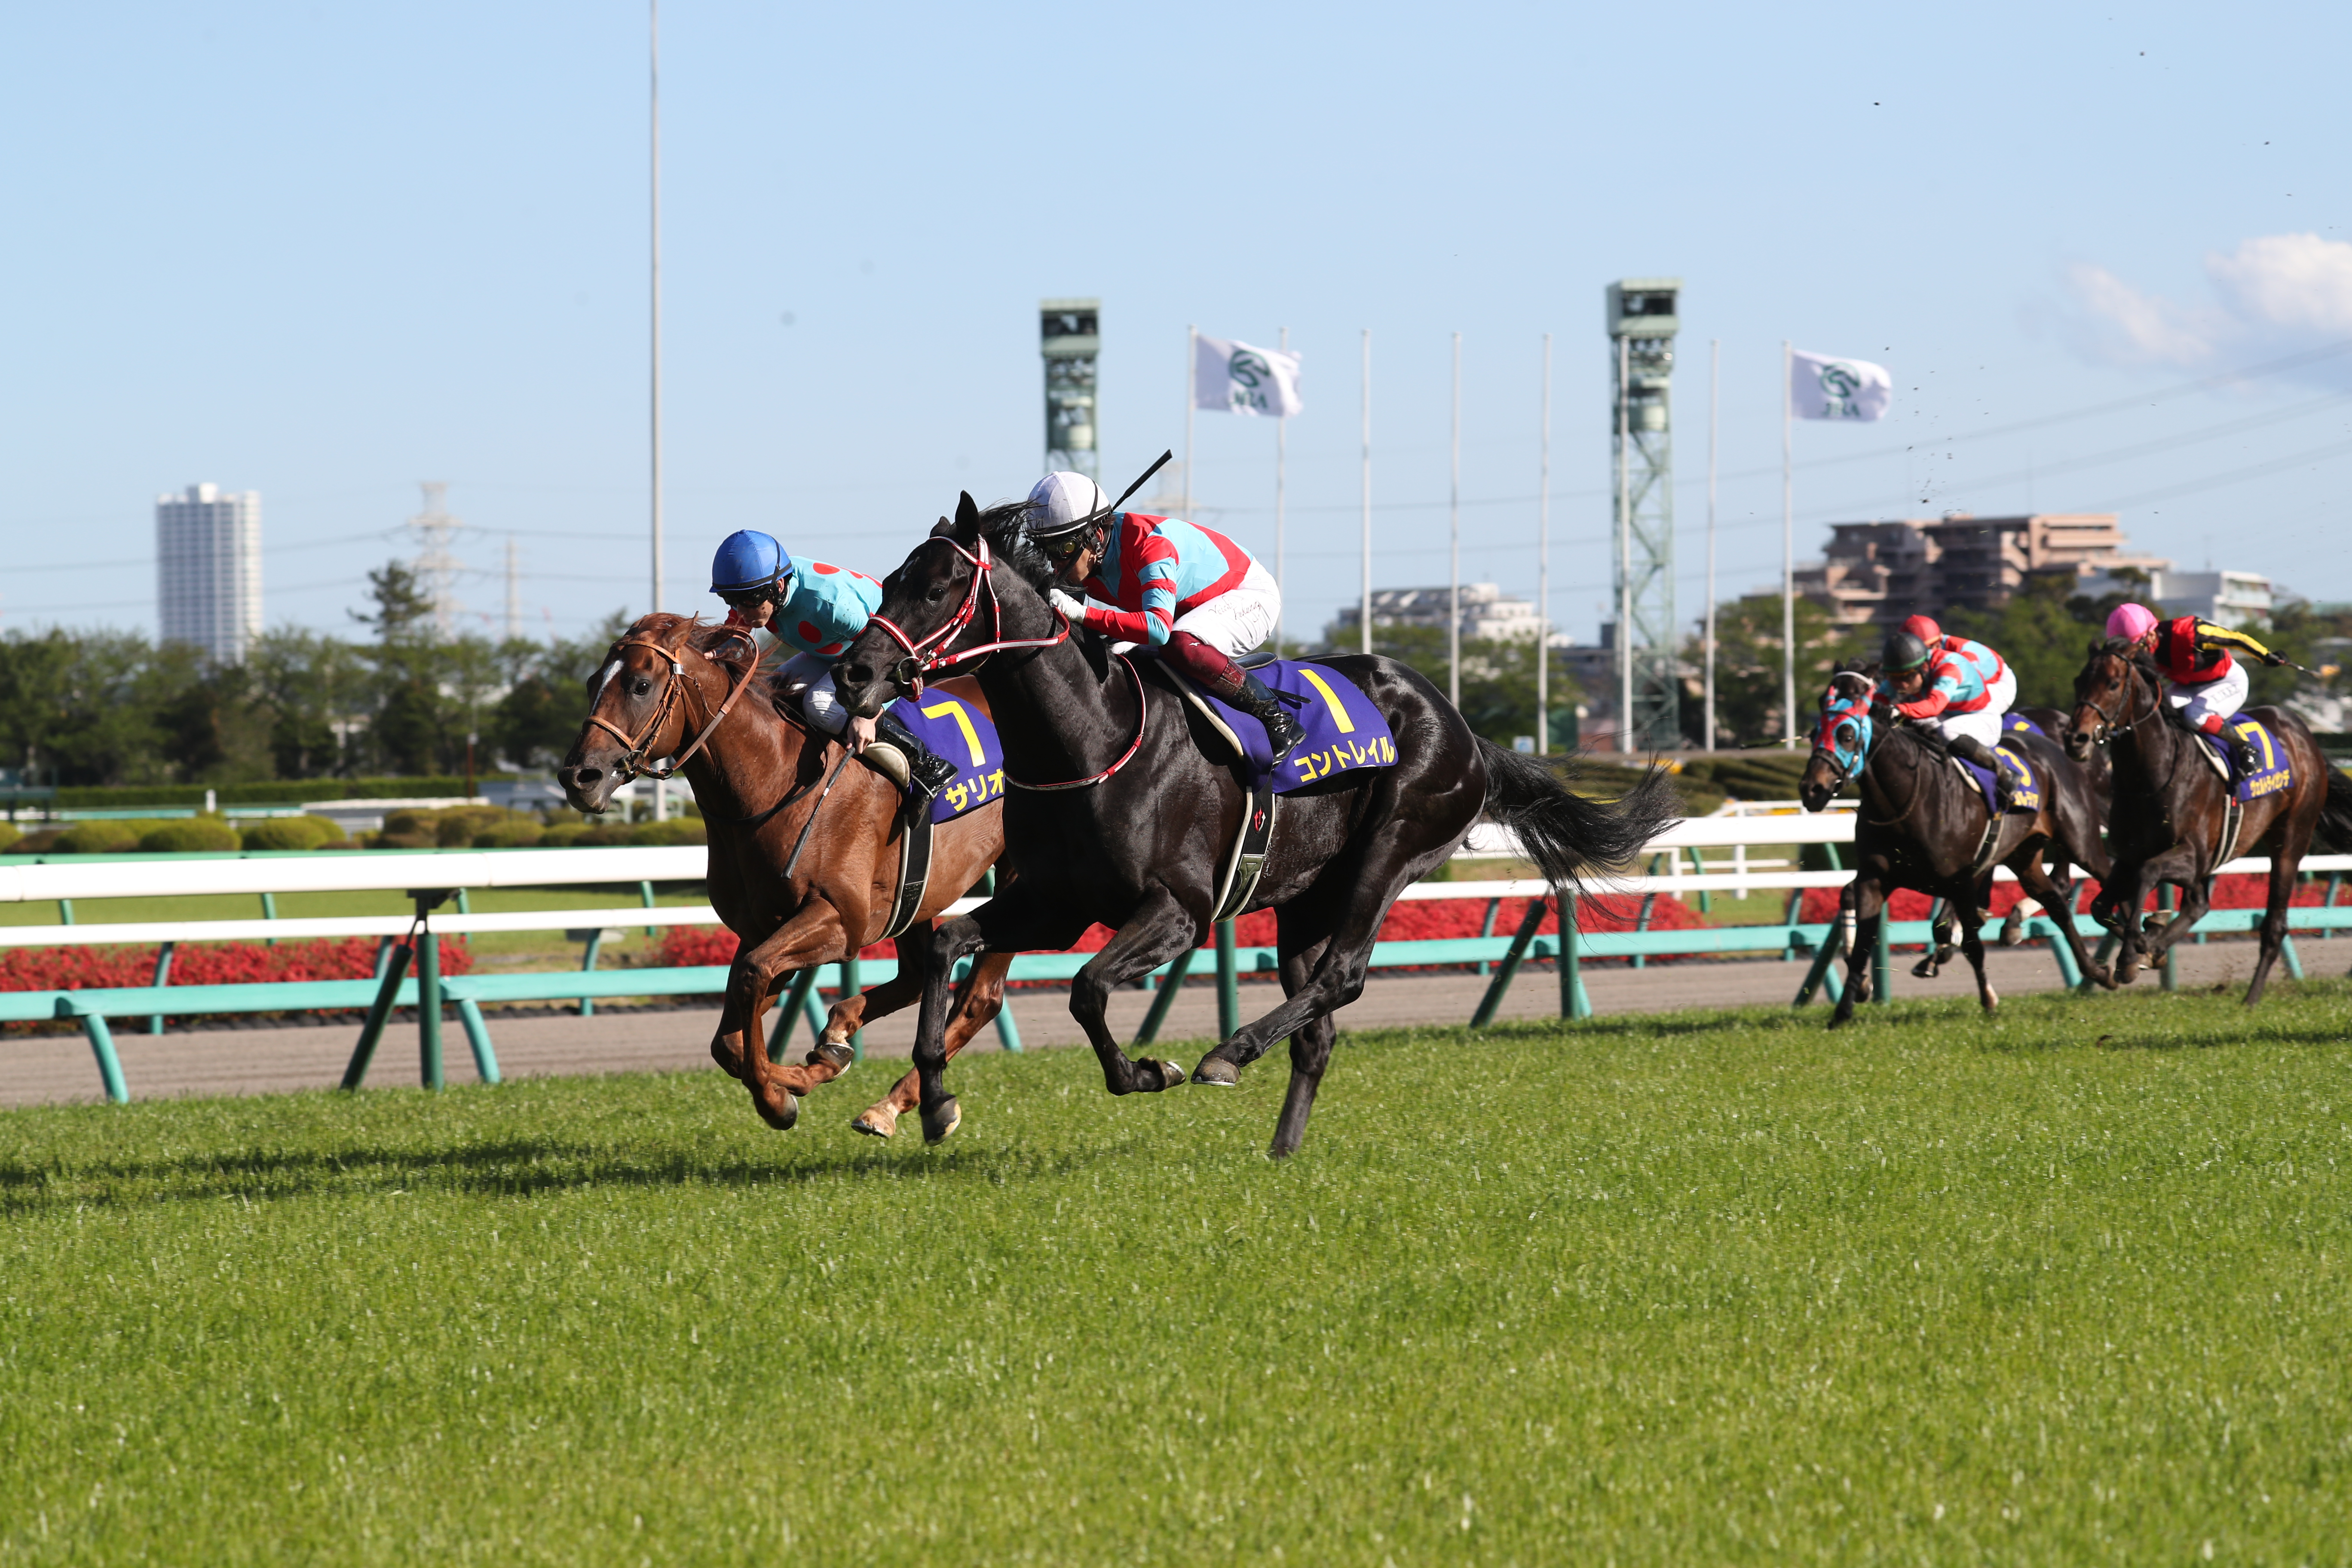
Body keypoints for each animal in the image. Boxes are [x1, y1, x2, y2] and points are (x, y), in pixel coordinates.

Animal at [567, 611, 1020, 1142]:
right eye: (593, 682)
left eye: (640, 685)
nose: (579, 777)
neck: (776, 781)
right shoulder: (762, 925)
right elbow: (731, 1035)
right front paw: (810, 1071)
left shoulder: (840, 920)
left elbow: (753, 976)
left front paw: (776, 1097)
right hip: (916, 896)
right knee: (915, 978)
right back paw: (866, 1075)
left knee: (980, 999)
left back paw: (909, 1101)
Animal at [828, 496, 1675, 1161]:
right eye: (892, 581)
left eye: (939, 588)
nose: (854, 672)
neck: (1091, 738)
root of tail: (1463, 725)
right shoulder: (1054, 904)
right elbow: (946, 943)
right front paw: (935, 1101)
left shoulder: (1179, 909)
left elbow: (1087, 988)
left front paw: (1148, 1071)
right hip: (1305, 894)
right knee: (1318, 1027)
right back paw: (1280, 1149)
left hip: (1392, 850)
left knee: (1342, 977)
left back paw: (1225, 1054)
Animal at [1797, 668, 2116, 1025]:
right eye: (1814, 732)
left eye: (1847, 735)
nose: (1812, 789)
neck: (1904, 799)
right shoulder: (1875, 878)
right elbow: (1861, 929)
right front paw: (1847, 1005)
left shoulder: (1962, 878)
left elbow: (1970, 941)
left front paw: (1987, 998)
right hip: (2025, 855)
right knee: (2057, 900)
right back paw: (2095, 967)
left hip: (2079, 839)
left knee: (2103, 873)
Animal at [2060, 639, 2352, 1006]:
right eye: (2078, 681)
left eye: (2113, 684)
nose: (2076, 739)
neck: (2152, 774)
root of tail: (2304, 735)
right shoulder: (2129, 855)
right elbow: (2100, 906)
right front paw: (2146, 944)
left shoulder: (2192, 855)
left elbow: (2148, 874)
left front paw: (2133, 951)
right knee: (2199, 905)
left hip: (2290, 839)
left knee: (2274, 925)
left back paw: (2251, 999)